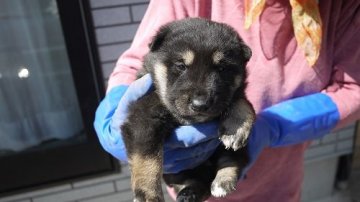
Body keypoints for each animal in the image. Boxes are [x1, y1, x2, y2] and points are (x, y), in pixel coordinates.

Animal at [121, 17, 256, 202]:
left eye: (222, 69)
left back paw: (223, 181)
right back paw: (188, 194)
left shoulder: (235, 93)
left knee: (231, 159)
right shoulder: (143, 117)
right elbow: (146, 159)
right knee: (192, 181)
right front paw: (148, 195)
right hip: (177, 172)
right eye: (181, 66)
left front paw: (236, 128)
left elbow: (241, 101)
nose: (200, 104)